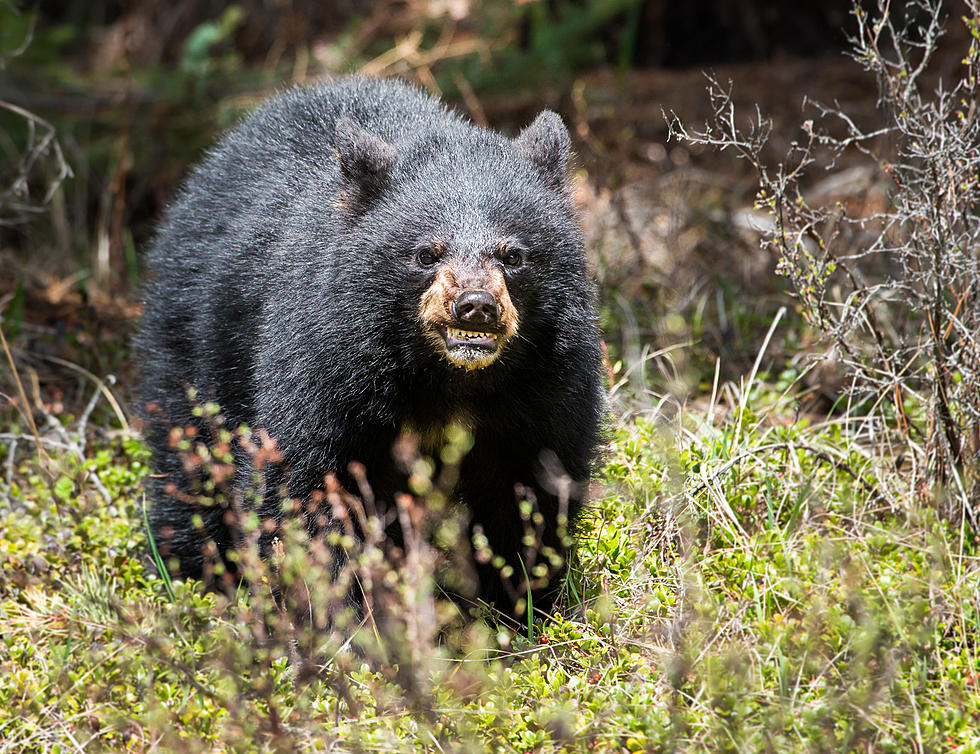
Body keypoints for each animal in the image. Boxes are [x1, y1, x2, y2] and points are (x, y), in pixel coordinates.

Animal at [138, 76, 604, 624]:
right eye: (426, 253)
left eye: (513, 255)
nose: (475, 306)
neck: (448, 379)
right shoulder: (324, 363)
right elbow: (311, 486)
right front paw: (338, 615)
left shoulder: (547, 382)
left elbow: (532, 489)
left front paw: (521, 607)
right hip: (195, 338)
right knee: (188, 462)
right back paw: (194, 578)